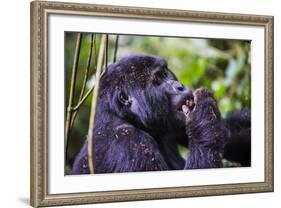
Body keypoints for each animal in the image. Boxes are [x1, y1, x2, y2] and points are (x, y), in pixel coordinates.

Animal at [70, 54, 249, 174]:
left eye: (165, 73)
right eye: (157, 79)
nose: (180, 86)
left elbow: (233, 133)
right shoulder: (129, 142)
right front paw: (205, 115)